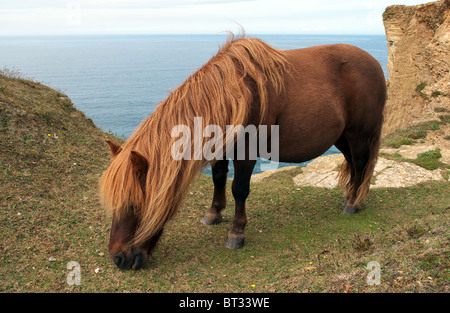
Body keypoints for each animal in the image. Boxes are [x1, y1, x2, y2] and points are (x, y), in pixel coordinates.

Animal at [100, 33, 384, 270]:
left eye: (134, 205)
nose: (118, 258)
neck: (234, 93)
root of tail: (375, 65)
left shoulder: (246, 151)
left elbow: (239, 189)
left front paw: (236, 233)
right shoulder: (219, 146)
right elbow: (218, 178)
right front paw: (213, 214)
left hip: (358, 134)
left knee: (360, 163)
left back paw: (353, 203)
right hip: (342, 137)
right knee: (353, 164)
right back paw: (348, 197)